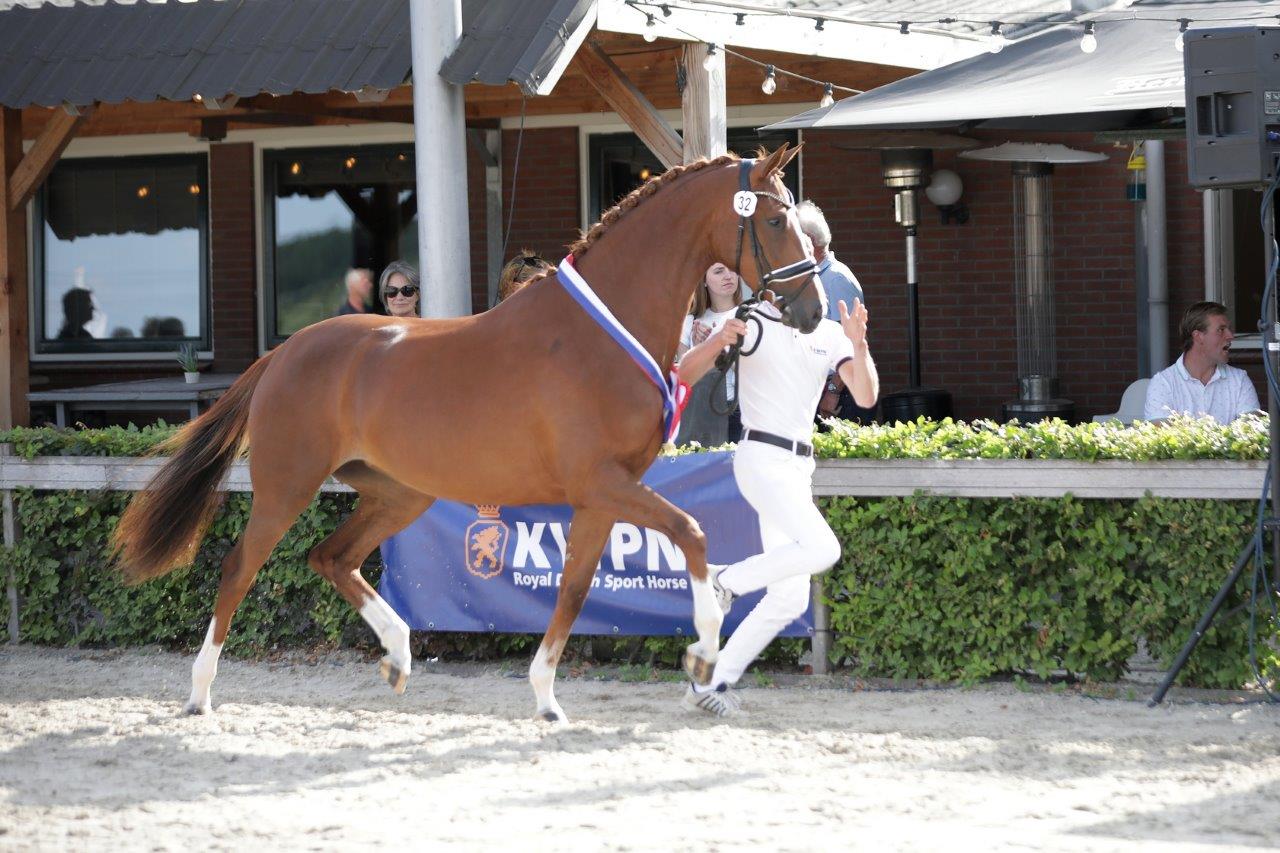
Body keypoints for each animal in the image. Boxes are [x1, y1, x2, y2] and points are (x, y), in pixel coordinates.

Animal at [115, 144, 824, 717]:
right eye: (774, 220)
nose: (813, 310)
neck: (600, 333)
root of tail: (284, 354)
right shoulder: (603, 482)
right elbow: (692, 532)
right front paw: (703, 649)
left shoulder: (601, 497)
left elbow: (574, 589)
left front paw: (546, 698)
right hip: (286, 487)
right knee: (239, 567)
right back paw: (200, 693)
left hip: (400, 493)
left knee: (332, 556)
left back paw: (399, 656)